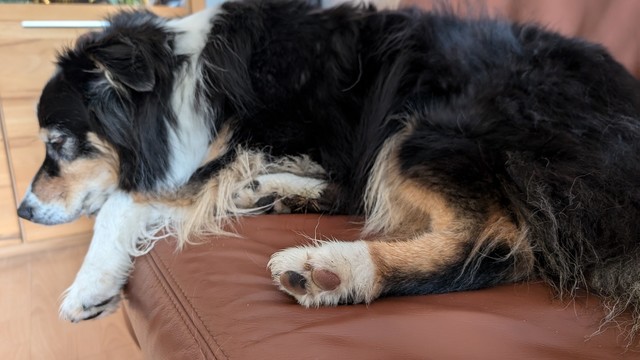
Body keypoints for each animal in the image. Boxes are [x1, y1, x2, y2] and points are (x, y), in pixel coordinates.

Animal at [15, 0, 640, 338]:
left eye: (59, 144)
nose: (22, 210)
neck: (178, 79)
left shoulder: (236, 141)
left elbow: (125, 202)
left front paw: (89, 286)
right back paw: (276, 195)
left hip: (423, 124)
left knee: (497, 246)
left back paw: (336, 270)